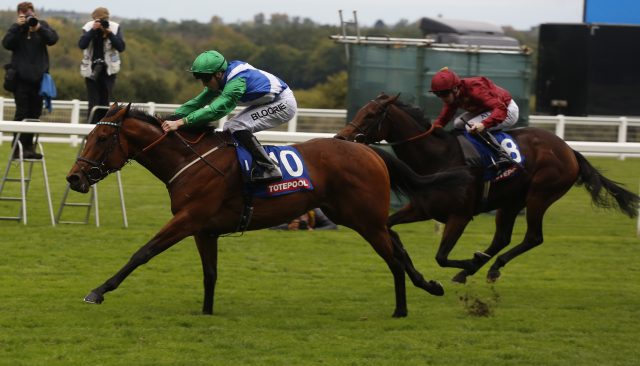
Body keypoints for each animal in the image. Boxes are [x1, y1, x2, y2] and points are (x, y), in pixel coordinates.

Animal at [67, 103, 470, 318]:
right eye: (88, 135)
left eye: (101, 138)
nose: (74, 177)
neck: (188, 160)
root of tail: (369, 149)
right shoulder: (204, 229)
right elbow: (210, 274)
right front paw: (207, 311)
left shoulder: (187, 219)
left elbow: (142, 252)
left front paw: (98, 291)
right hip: (355, 215)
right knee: (398, 243)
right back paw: (429, 285)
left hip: (364, 219)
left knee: (392, 256)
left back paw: (402, 307)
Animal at [336, 93, 640, 284]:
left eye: (372, 114)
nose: (341, 138)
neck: (439, 158)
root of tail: (569, 150)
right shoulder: (421, 208)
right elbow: (389, 226)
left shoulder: (459, 216)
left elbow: (441, 257)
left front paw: (469, 262)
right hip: (510, 202)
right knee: (502, 239)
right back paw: (476, 269)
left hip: (539, 195)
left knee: (533, 237)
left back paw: (489, 268)